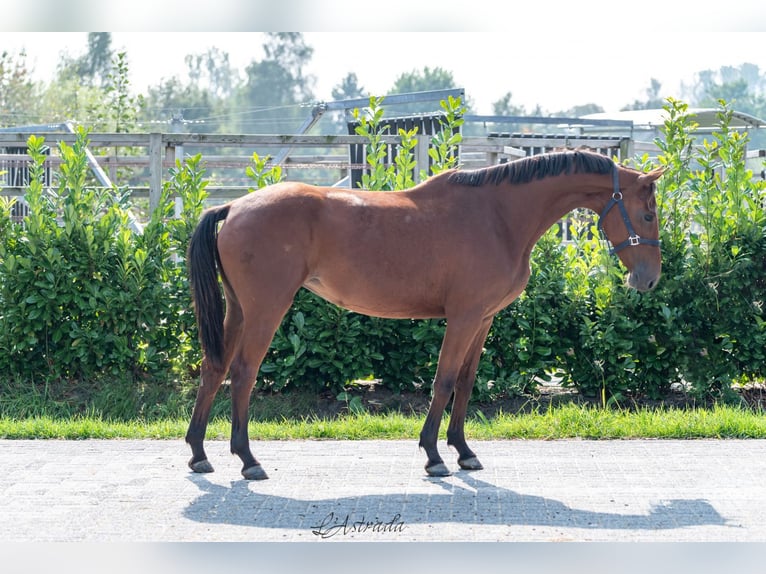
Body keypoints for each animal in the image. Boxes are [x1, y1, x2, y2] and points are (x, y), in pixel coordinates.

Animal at [186, 150, 664, 482]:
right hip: (266, 308)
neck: (498, 217)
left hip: (238, 309)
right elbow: (445, 380)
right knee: (243, 373)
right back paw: (247, 459)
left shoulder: (484, 320)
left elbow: (467, 383)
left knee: (214, 368)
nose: (649, 279)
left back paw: (199, 453)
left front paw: (464, 451)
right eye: (647, 213)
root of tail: (234, 207)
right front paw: (434, 456)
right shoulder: (464, 317)